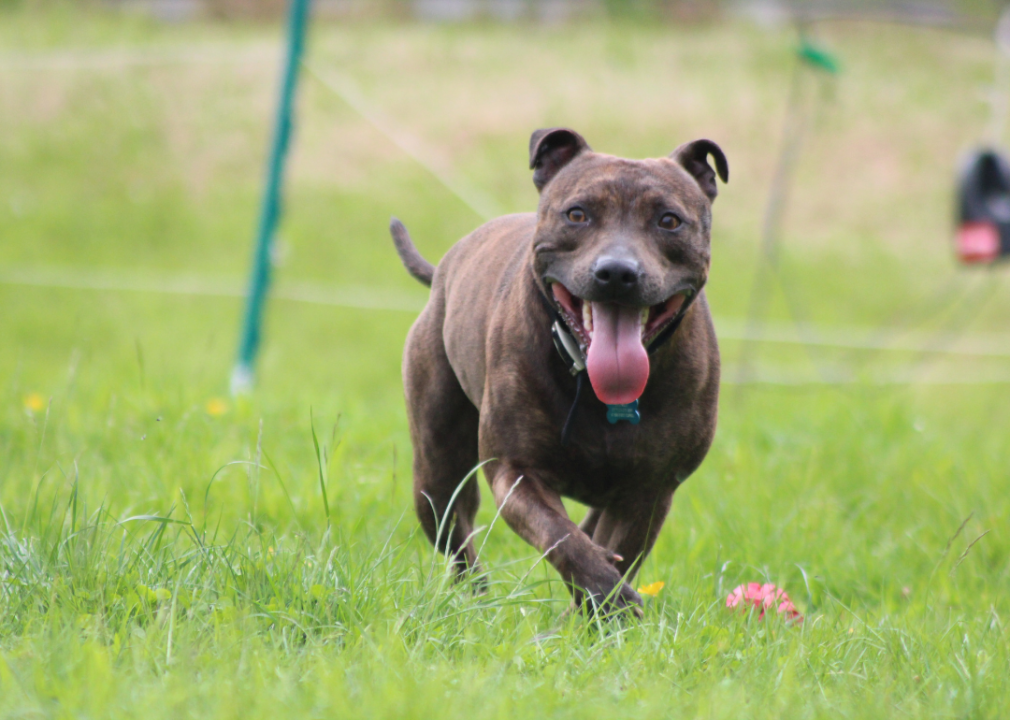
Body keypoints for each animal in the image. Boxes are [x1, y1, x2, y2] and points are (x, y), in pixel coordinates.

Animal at [385, 129, 727, 613]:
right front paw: (607, 598)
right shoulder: (516, 472)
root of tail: (443, 272)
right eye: (577, 214)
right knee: (458, 535)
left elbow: (613, 550)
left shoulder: (649, 489)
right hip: (436, 475)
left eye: (669, 221)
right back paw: (476, 599)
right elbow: (563, 539)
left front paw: (601, 610)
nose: (617, 272)